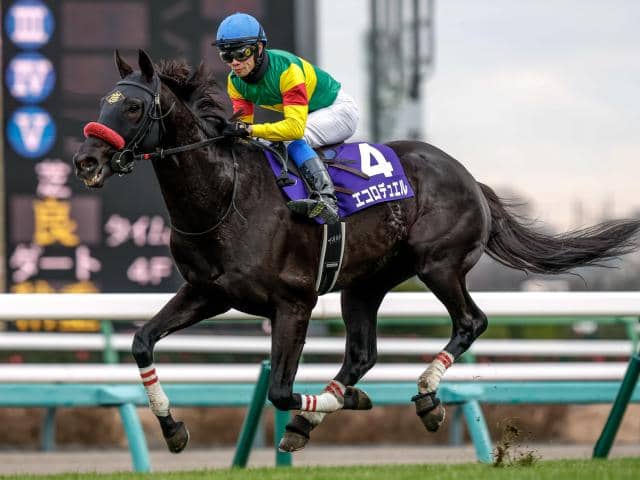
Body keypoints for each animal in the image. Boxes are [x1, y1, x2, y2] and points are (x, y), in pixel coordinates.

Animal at [73, 50, 640, 453]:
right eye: (102, 102)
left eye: (132, 106)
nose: (85, 160)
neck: (226, 195)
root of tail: (470, 178)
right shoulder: (207, 292)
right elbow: (143, 343)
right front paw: (172, 428)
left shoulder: (293, 302)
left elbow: (280, 389)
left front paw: (328, 405)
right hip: (365, 284)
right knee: (364, 353)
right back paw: (326, 412)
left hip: (440, 265)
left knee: (470, 322)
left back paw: (423, 396)